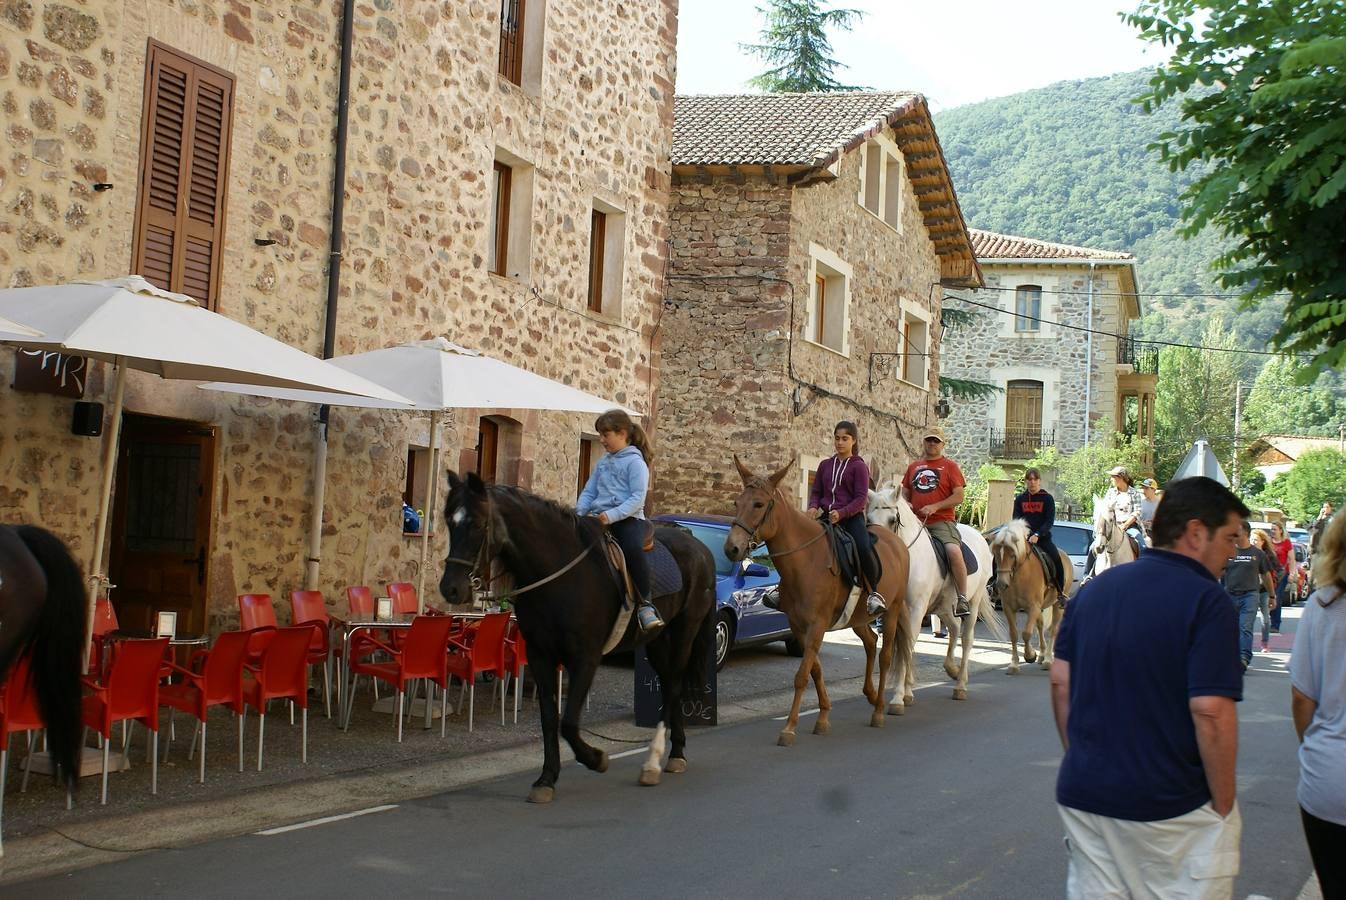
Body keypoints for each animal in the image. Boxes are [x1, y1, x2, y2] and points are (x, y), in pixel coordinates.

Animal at [438, 470, 716, 801]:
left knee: (674, 685)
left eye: (478, 524)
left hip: (685, 630)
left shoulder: (585, 658)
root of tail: (699, 547)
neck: (558, 574)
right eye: (448, 521)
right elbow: (549, 719)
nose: (451, 589)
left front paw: (596, 758)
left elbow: (569, 722)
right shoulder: (540, 656)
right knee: (667, 686)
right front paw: (546, 779)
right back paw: (672, 754)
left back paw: (659, 760)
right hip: (657, 640)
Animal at [726, 457, 915, 742]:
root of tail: (898, 544)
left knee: (885, 655)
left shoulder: (816, 626)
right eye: (737, 503)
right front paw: (823, 716)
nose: (732, 548)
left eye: (758, 504)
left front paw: (789, 728)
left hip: (891, 612)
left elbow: (802, 675)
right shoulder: (799, 627)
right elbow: (814, 670)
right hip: (858, 618)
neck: (806, 560)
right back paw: (871, 695)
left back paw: (880, 710)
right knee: (871, 643)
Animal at [866, 481, 1006, 704]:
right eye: (869, 519)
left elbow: (908, 644)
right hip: (944, 607)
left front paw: (898, 696)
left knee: (967, 638)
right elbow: (902, 644)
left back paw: (960, 685)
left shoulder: (915, 609)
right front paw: (907, 691)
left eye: (892, 520)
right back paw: (951, 669)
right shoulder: (895, 611)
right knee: (954, 629)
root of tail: (980, 536)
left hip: (973, 603)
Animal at [990, 516, 1071, 669]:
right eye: (996, 554)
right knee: (1040, 626)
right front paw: (1014, 664)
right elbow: (1014, 634)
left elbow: (1026, 633)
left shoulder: (1033, 607)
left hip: (1057, 604)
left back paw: (1048, 660)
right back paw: (1042, 655)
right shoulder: (1009, 608)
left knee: (1053, 630)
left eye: (1012, 554)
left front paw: (1029, 655)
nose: (1001, 584)